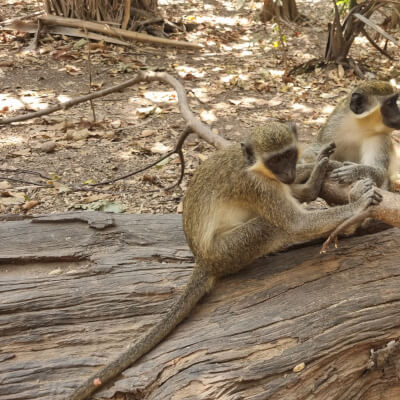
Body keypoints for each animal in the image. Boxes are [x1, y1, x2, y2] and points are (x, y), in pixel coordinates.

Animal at [69, 121, 382, 400]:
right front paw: (357, 204)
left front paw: (317, 169)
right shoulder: (256, 186)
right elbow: (295, 224)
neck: (256, 167)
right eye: (275, 160)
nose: (288, 171)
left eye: (289, 155)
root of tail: (204, 260)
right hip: (229, 252)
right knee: (270, 226)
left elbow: (295, 196)